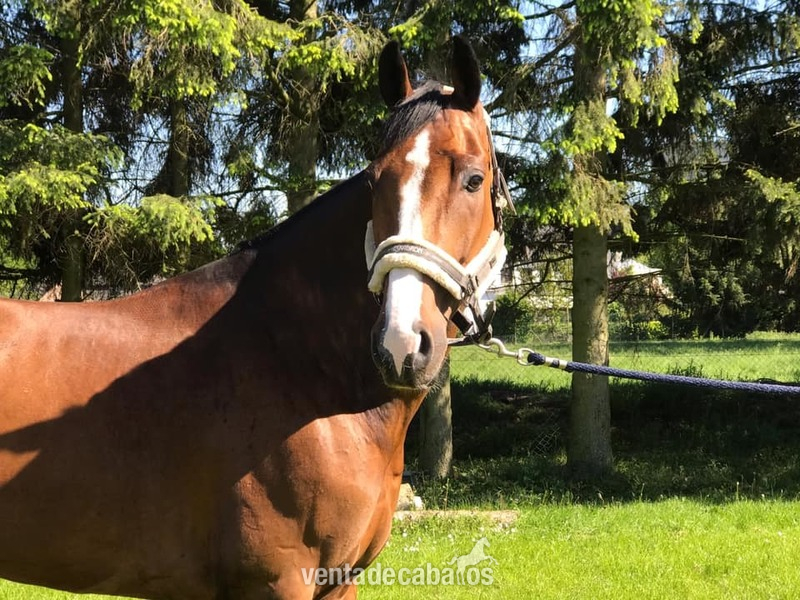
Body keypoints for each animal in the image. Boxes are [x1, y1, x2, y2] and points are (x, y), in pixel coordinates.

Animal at [0, 36, 510, 599]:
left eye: (474, 179)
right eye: (375, 182)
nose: (401, 344)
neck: (304, 369)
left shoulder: (339, 582)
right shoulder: (277, 582)